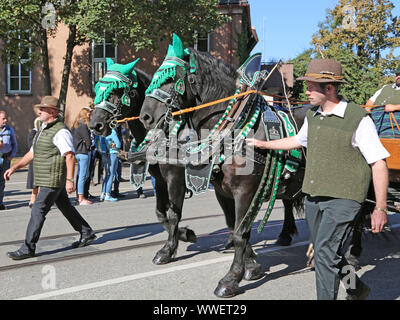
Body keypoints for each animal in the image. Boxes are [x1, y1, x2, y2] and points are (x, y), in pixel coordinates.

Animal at [139, 38, 308, 298]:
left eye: (169, 78)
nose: (145, 116)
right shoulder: (222, 192)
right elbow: (232, 228)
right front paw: (251, 266)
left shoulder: (244, 192)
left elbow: (240, 233)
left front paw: (231, 279)